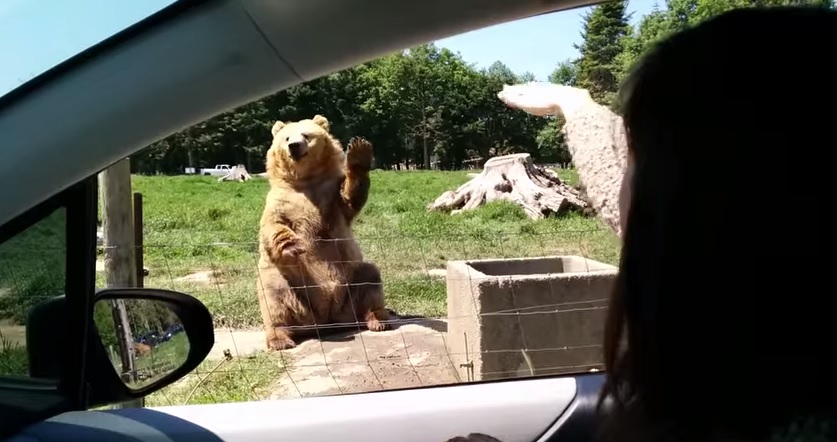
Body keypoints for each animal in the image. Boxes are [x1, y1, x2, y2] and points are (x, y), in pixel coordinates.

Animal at [256, 114, 390, 351]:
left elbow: (350, 197)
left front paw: (358, 150)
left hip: (350, 287)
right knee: (273, 296)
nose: (294, 146)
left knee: (370, 278)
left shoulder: (330, 197)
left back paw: (377, 319)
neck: (305, 180)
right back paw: (280, 339)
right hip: (295, 289)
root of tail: (326, 321)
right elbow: (273, 227)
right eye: (287, 137)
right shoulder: (280, 202)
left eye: (306, 135)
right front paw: (292, 245)